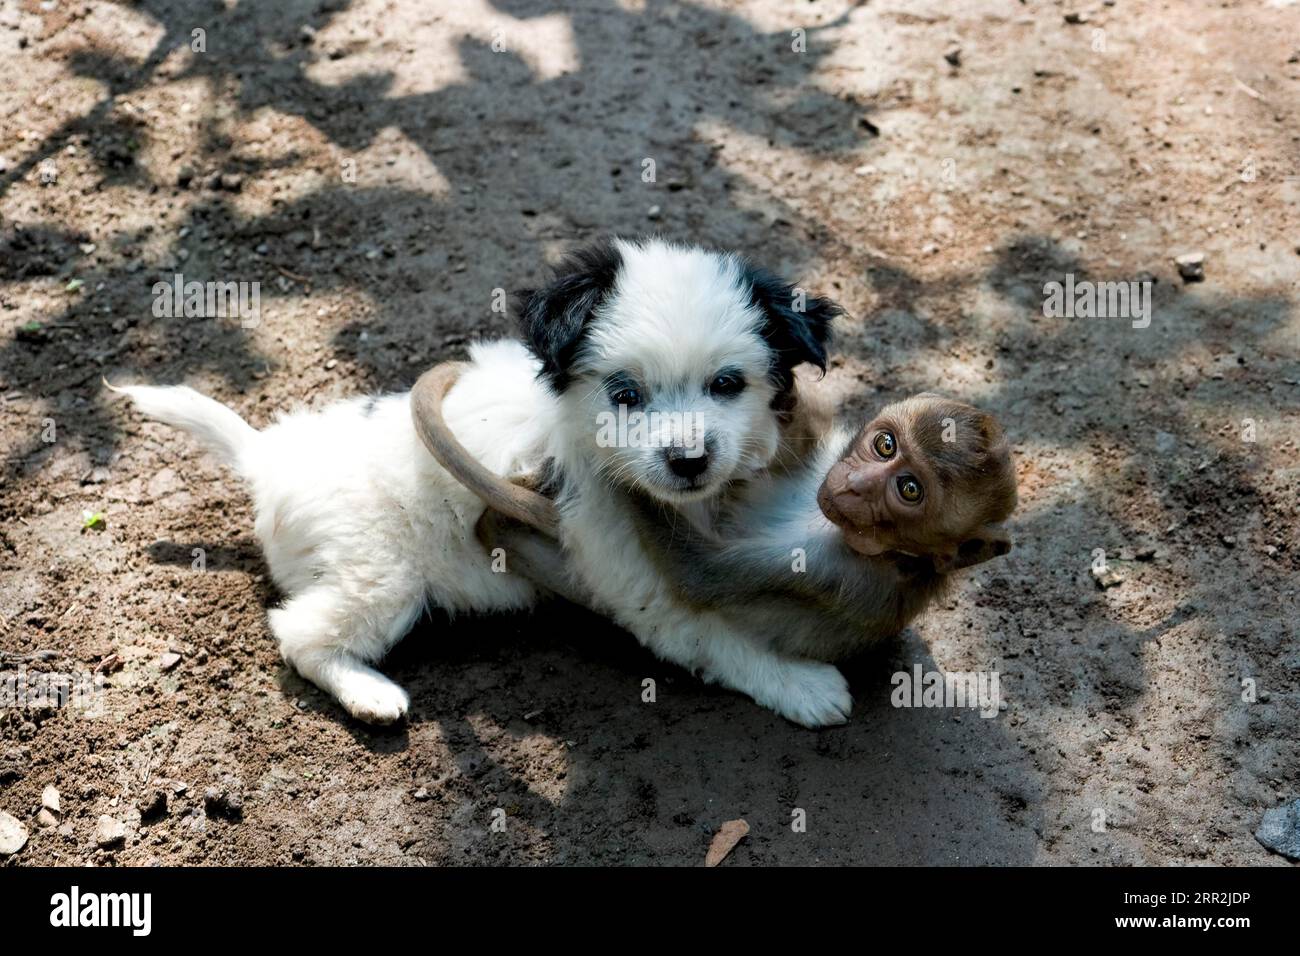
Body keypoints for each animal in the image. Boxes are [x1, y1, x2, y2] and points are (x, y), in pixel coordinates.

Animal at [116, 238, 847, 723]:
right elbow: (724, 640)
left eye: (728, 384)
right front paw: (802, 685)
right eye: (625, 394)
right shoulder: (640, 585)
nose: (688, 460)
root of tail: (269, 456)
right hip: (380, 574)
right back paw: (371, 694)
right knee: (300, 635)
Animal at [486, 392, 1013, 686]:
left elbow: (700, 575)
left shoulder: (836, 573)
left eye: (909, 489)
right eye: (885, 444)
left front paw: (619, 469)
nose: (857, 485)